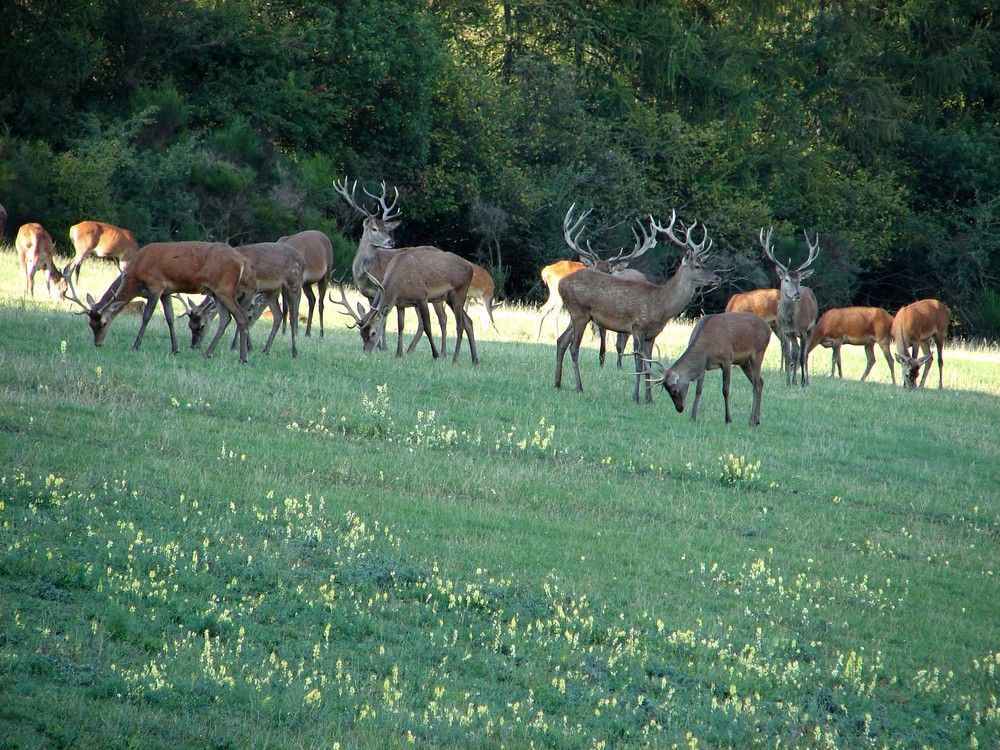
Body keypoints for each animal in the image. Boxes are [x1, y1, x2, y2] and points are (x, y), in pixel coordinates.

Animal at [65, 238, 256, 362]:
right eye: (90, 324)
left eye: (103, 323)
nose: (97, 343)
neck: (137, 274)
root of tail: (243, 261)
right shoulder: (166, 291)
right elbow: (170, 318)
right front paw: (175, 349)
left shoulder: (156, 285)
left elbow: (147, 316)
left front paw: (136, 345)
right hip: (217, 292)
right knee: (225, 318)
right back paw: (208, 353)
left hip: (225, 288)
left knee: (241, 316)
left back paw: (243, 358)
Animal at [332, 251, 480, 366]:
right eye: (361, 334)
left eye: (373, 333)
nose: (366, 353)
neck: (399, 285)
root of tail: (471, 268)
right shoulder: (400, 304)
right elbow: (400, 326)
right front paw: (399, 353)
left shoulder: (422, 297)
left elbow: (427, 327)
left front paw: (436, 355)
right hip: (449, 298)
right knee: (469, 321)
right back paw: (475, 360)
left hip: (459, 292)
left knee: (459, 325)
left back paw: (455, 358)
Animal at [532, 206, 656, 346]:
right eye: (595, 268)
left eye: (609, 271)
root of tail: (545, 270)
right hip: (559, 295)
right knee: (553, 313)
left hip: (555, 295)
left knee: (544, 310)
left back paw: (537, 337)